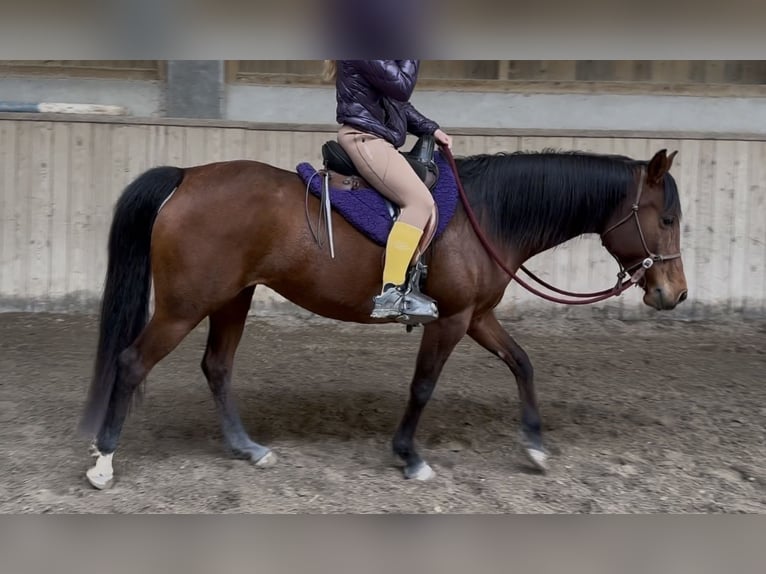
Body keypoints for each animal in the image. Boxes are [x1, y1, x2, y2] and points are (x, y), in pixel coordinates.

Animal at [78, 140, 688, 490]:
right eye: (666, 219)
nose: (674, 294)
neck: (486, 215)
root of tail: (187, 175)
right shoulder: (450, 319)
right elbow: (422, 386)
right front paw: (409, 456)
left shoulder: (476, 315)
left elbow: (522, 363)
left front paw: (536, 444)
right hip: (185, 306)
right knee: (132, 363)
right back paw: (103, 461)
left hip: (233, 298)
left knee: (217, 367)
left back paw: (246, 448)